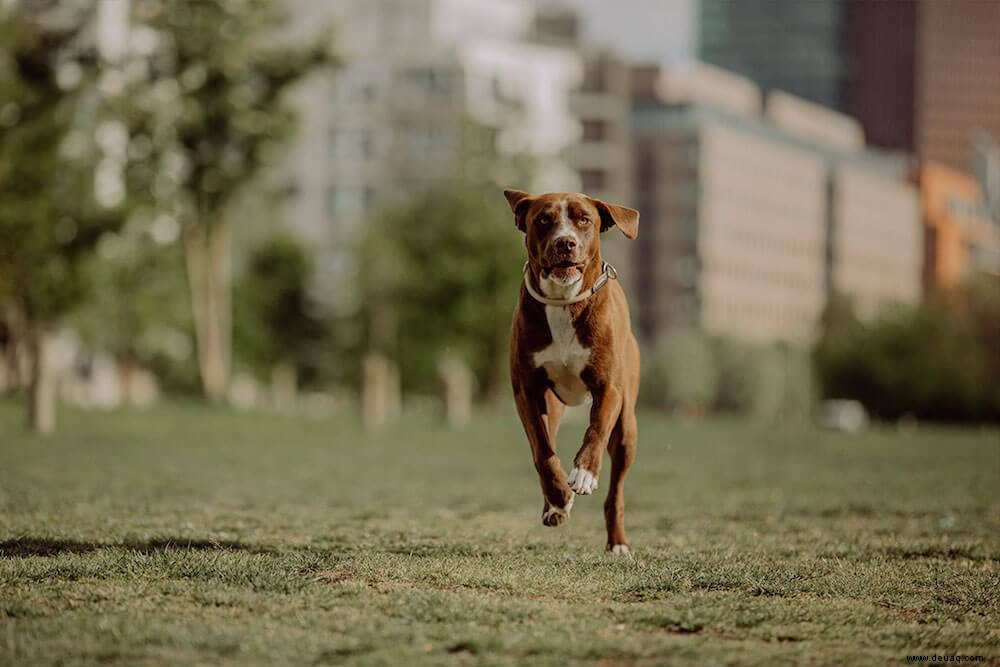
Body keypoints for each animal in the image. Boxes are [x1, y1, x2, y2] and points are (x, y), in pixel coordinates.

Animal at [508, 188, 640, 552]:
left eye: (584, 219)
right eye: (543, 219)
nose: (565, 242)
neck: (564, 301)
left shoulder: (609, 388)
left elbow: (596, 429)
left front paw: (584, 473)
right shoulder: (527, 391)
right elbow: (542, 450)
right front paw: (558, 496)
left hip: (627, 427)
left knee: (616, 490)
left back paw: (617, 542)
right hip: (552, 405)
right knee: (547, 440)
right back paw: (553, 505)